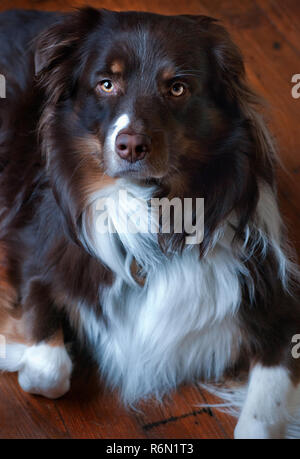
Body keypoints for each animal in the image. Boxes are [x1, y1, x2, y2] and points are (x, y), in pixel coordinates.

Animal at [0, 7, 300, 438]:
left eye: (177, 88)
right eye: (106, 84)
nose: (130, 146)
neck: (153, 217)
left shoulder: (277, 306)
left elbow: (259, 422)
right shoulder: (38, 261)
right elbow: (48, 371)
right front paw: (13, 351)